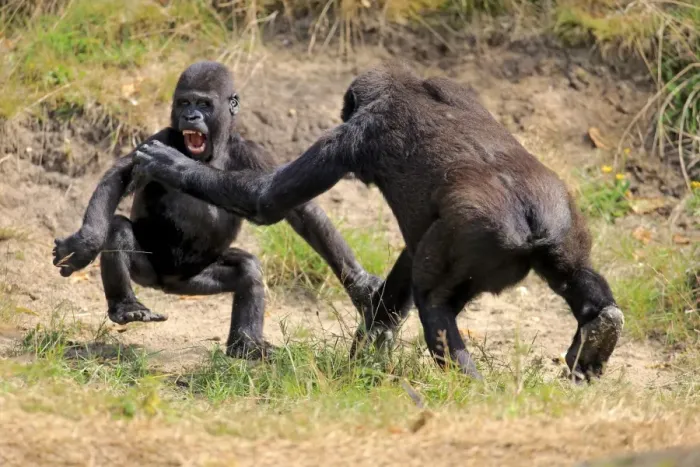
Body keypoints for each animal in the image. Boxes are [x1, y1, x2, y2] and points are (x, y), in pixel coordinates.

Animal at [52, 61, 382, 359]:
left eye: (204, 104)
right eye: (184, 102)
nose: (191, 115)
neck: (212, 152)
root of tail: (167, 284)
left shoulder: (256, 155)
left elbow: (298, 210)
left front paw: (359, 284)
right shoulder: (161, 137)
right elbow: (119, 177)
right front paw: (85, 243)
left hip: (195, 279)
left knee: (247, 270)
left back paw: (245, 345)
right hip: (148, 272)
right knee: (119, 229)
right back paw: (126, 306)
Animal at [132, 62, 624, 382]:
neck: (405, 85)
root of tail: (529, 218)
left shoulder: (350, 138)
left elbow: (268, 201)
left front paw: (174, 166)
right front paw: (370, 310)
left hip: (485, 234)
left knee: (435, 306)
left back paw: (468, 387)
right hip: (562, 216)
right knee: (573, 273)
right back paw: (600, 328)